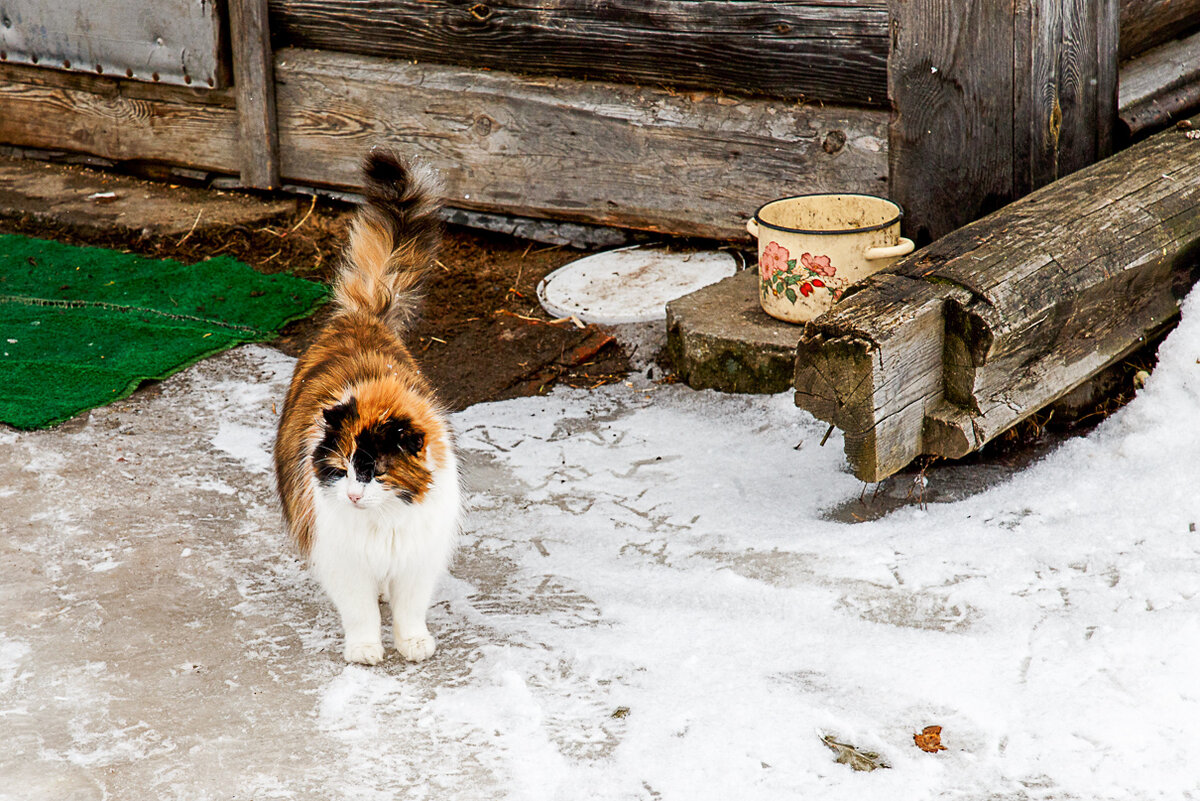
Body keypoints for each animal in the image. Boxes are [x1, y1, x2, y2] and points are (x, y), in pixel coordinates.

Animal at [274, 148, 460, 661]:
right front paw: (365, 650)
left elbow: (409, 608)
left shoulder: (416, 557)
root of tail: (361, 315)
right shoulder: (343, 560)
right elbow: (359, 613)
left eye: (374, 471)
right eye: (341, 471)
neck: (383, 520)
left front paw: (412, 642)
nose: (355, 496)